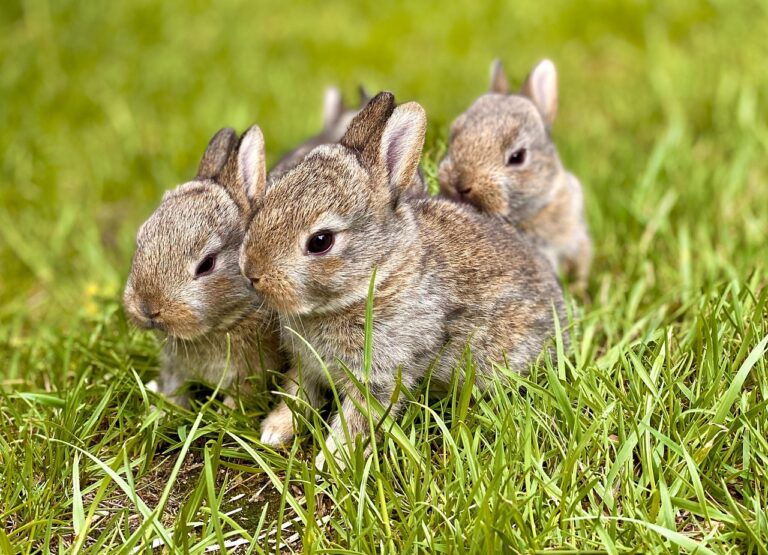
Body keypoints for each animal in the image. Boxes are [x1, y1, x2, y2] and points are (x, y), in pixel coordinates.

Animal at [237, 92, 566, 468]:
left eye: (320, 241)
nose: (251, 272)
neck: (374, 280)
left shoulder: (379, 376)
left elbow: (356, 421)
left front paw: (330, 462)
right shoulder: (307, 365)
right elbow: (296, 392)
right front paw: (274, 432)